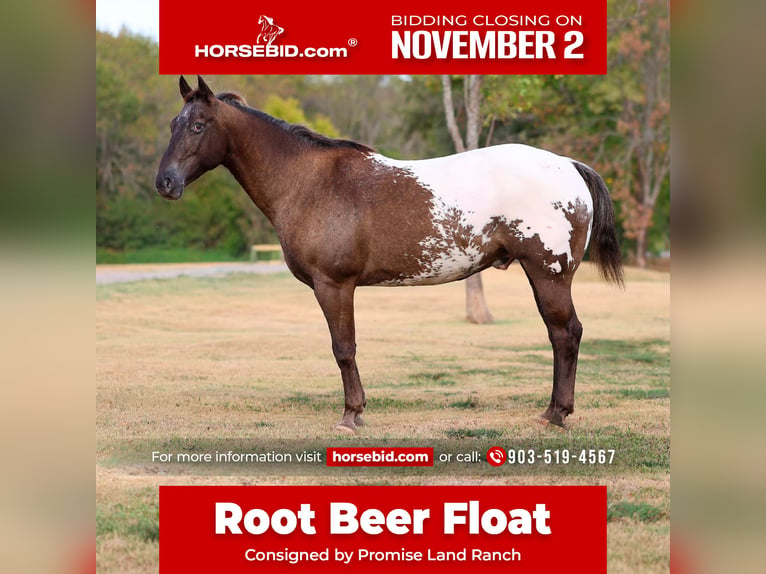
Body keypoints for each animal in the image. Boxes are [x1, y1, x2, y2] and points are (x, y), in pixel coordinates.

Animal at [155, 76, 624, 432]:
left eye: (198, 126)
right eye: (174, 123)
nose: (165, 182)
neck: (310, 183)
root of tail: (567, 164)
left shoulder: (334, 286)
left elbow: (343, 348)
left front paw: (351, 415)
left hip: (548, 274)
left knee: (566, 334)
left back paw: (556, 414)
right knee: (561, 335)